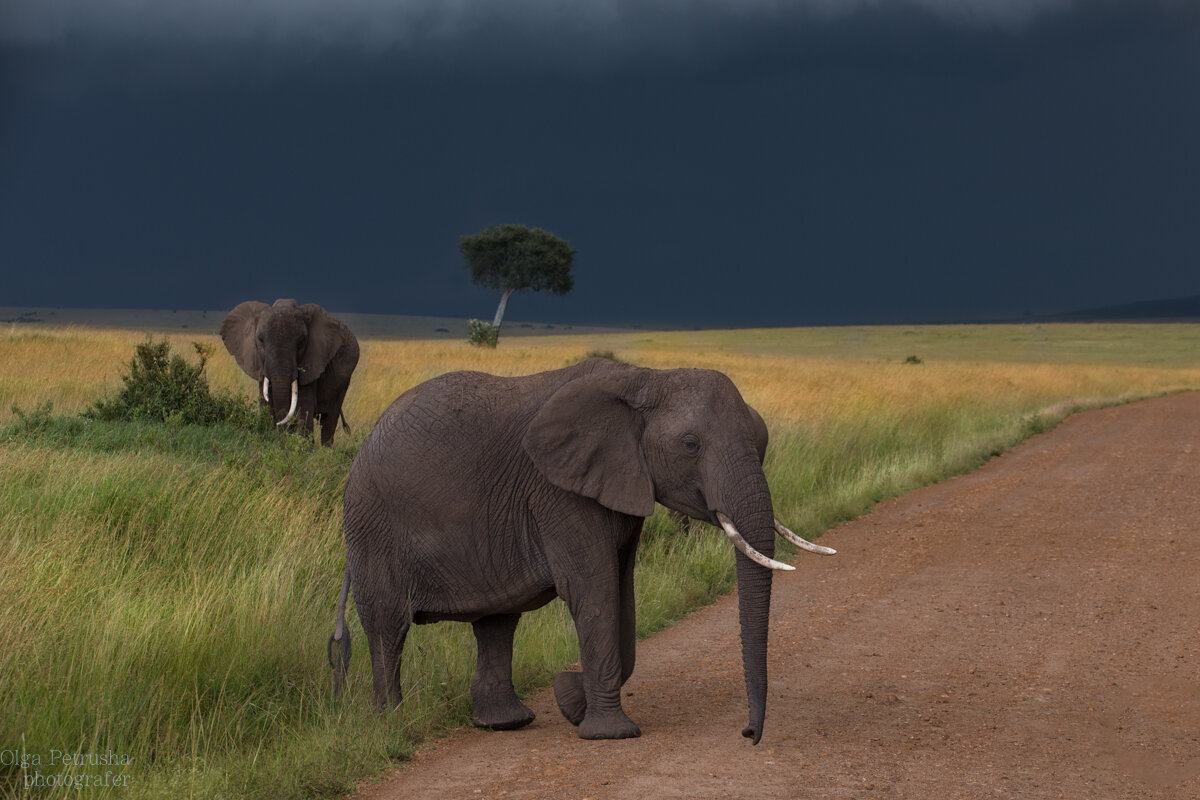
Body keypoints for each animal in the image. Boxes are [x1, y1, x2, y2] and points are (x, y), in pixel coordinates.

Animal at [220, 299, 357, 448]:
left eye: (302, 341)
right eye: (260, 339)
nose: (280, 426)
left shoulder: (313, 362)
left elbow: (304, 406)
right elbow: (266, 404)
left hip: (344, 382)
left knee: (329, 419)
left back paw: (326, 450)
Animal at [328, 357, 835, 743]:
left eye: (762, 439)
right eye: (690, 445)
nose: (748, 734)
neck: (646, 377)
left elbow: (622, 593)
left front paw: (570, 699)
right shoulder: (559, 492)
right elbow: (594, 590)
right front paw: (608, 733)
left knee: (496, 622)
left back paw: (505, 724)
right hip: (373, 527)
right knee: (387, 627)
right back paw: (395, 730)